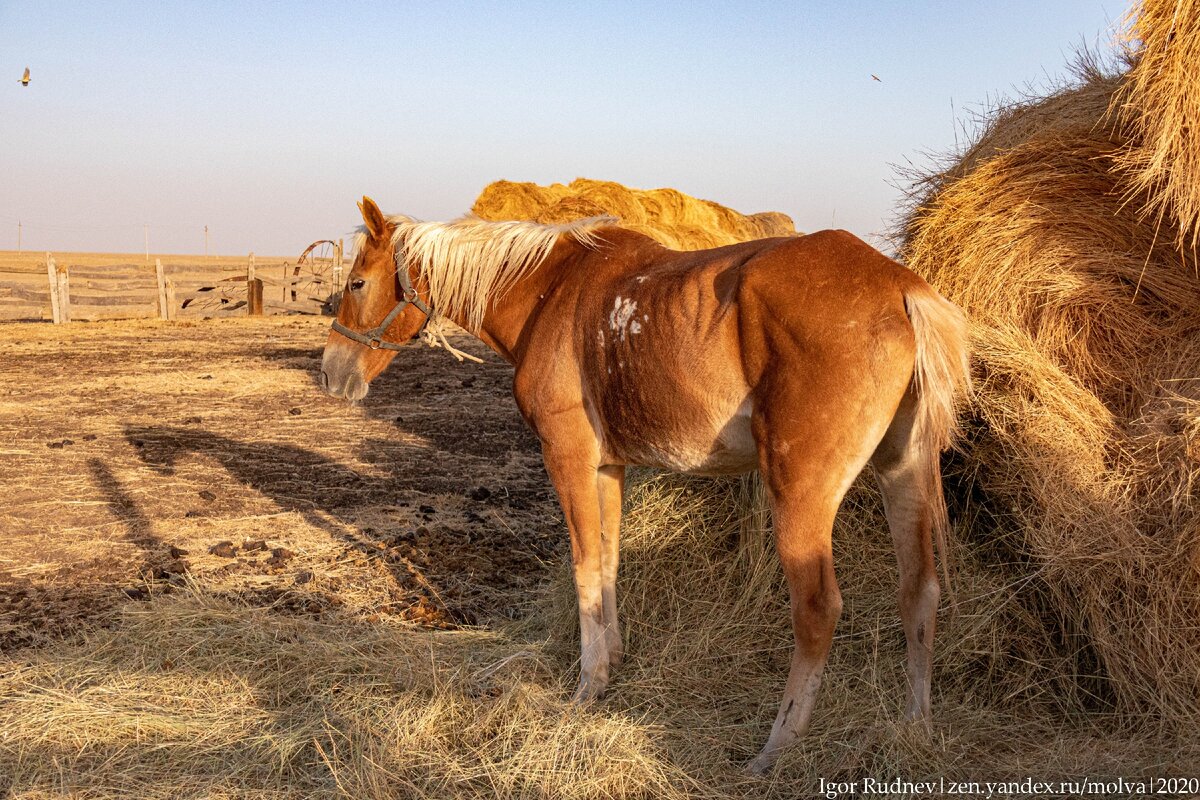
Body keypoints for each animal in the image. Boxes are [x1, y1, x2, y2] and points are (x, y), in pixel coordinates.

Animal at [321, 195, 974, 777]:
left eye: (356, 283)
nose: (331, 374)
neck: (549, 293)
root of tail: (900, 288)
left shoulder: (568, 457)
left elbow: (585, 565)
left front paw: (587, 686)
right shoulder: (608, 468)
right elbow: (609, 562)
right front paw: (611, 664)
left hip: (801, 494)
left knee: (817, 609)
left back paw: (777, 746)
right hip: (902, 472)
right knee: (919, 591)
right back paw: (914, 727)